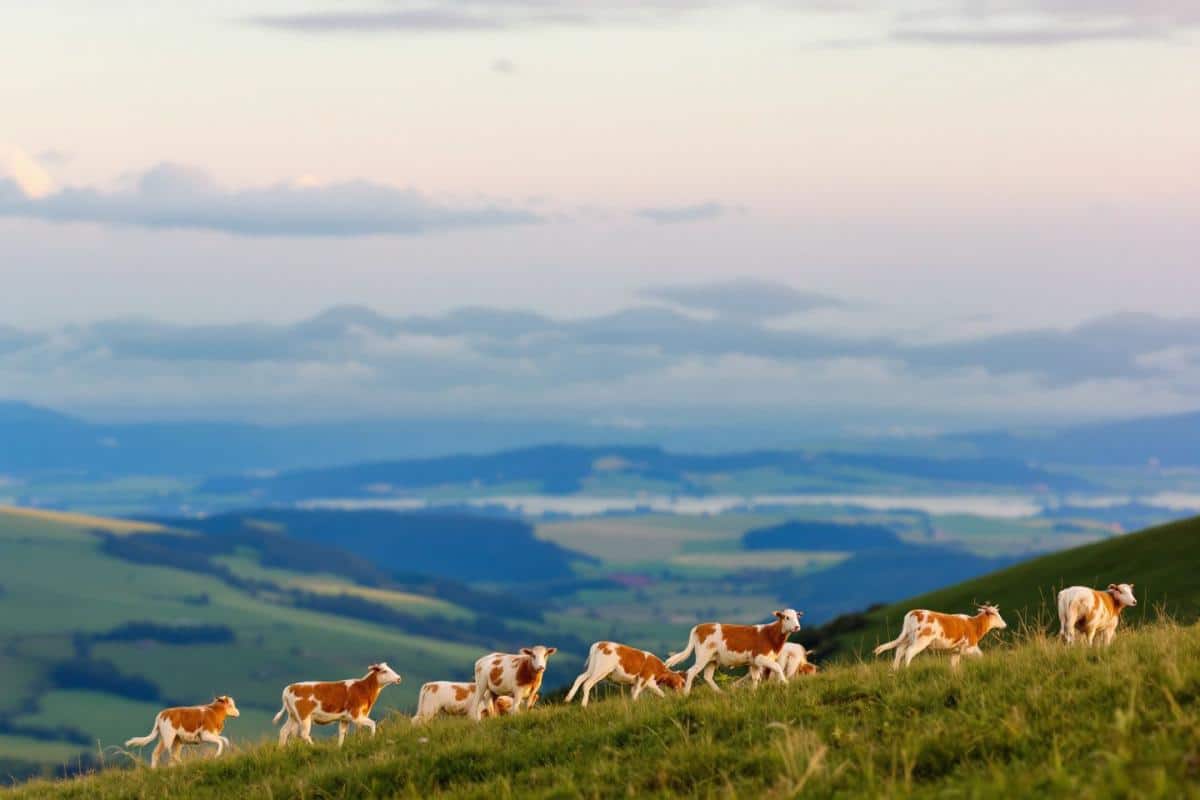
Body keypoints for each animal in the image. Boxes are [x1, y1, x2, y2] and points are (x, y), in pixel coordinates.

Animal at [273, 662, 402, 746]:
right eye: (384, 671)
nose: (399, 678)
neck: (363, 689)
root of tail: (290, 687)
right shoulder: (356, 716)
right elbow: (373, 724)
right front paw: (371, 739)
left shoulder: (344, 719)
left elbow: (342, 734)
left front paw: (339, 748)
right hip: (304, 716)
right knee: (303, 734)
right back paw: (314, 747)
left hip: (293, 716)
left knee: (284, 732)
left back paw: (282, 751)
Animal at [663, 609, 803, 695]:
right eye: (787, 617)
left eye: (797, 617)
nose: (797, 627)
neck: (770, 635)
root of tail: (700, 627)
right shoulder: (760, 657)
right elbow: (778, 667)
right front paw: (785, 684)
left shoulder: (754, 663)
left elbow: (755, 678)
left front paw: (753, 693)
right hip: (703, 656)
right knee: (691, 671)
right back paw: (686, 694)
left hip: (712, 659)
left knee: (707, 676)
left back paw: (721, 693)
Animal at [874, 604, 1007, 669]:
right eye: (995, 614)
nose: (1004, 624)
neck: (974, 625)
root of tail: (914, 612)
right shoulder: (968, 647)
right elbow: (980, 655)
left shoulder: (955, 651)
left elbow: (954, 665)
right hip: (921, 640)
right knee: (909, 652)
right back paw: (906, 670)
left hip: (907, 637)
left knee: (899, 651)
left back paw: (895, 671)